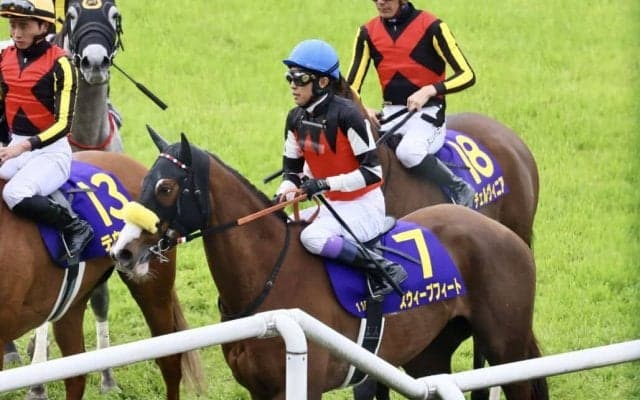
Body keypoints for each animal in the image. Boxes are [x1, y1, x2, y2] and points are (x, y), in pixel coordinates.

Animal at [110, 130, 548, 400]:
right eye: (144, 181)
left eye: (166, 187)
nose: (124, 251)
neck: (268, 279)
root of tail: (503, 232)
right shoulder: (257, 390)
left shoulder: (302, 386)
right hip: (429, 355)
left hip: (505, 346)